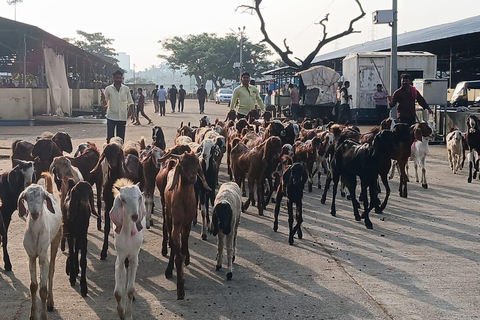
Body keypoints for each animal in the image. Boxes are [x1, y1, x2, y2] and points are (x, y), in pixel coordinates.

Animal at [17, 172, 61, 320]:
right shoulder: (31, 256)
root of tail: (51, 192)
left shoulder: (42, 255)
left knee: (51, 270)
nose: (35, 213)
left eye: (42, 197)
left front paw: (43, 316)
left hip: (56, 239)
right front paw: (32, 315)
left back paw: (50, 302)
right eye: (25, 197)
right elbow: (33, 286)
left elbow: (43, 289)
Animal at [110, 179, 145, 318]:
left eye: (140, 197)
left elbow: (130, 290)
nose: (135, 216)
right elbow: (117, 292)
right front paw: (121, 312)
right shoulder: (120, 257)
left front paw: (129, 314)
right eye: (123, 200)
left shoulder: (134, 257)